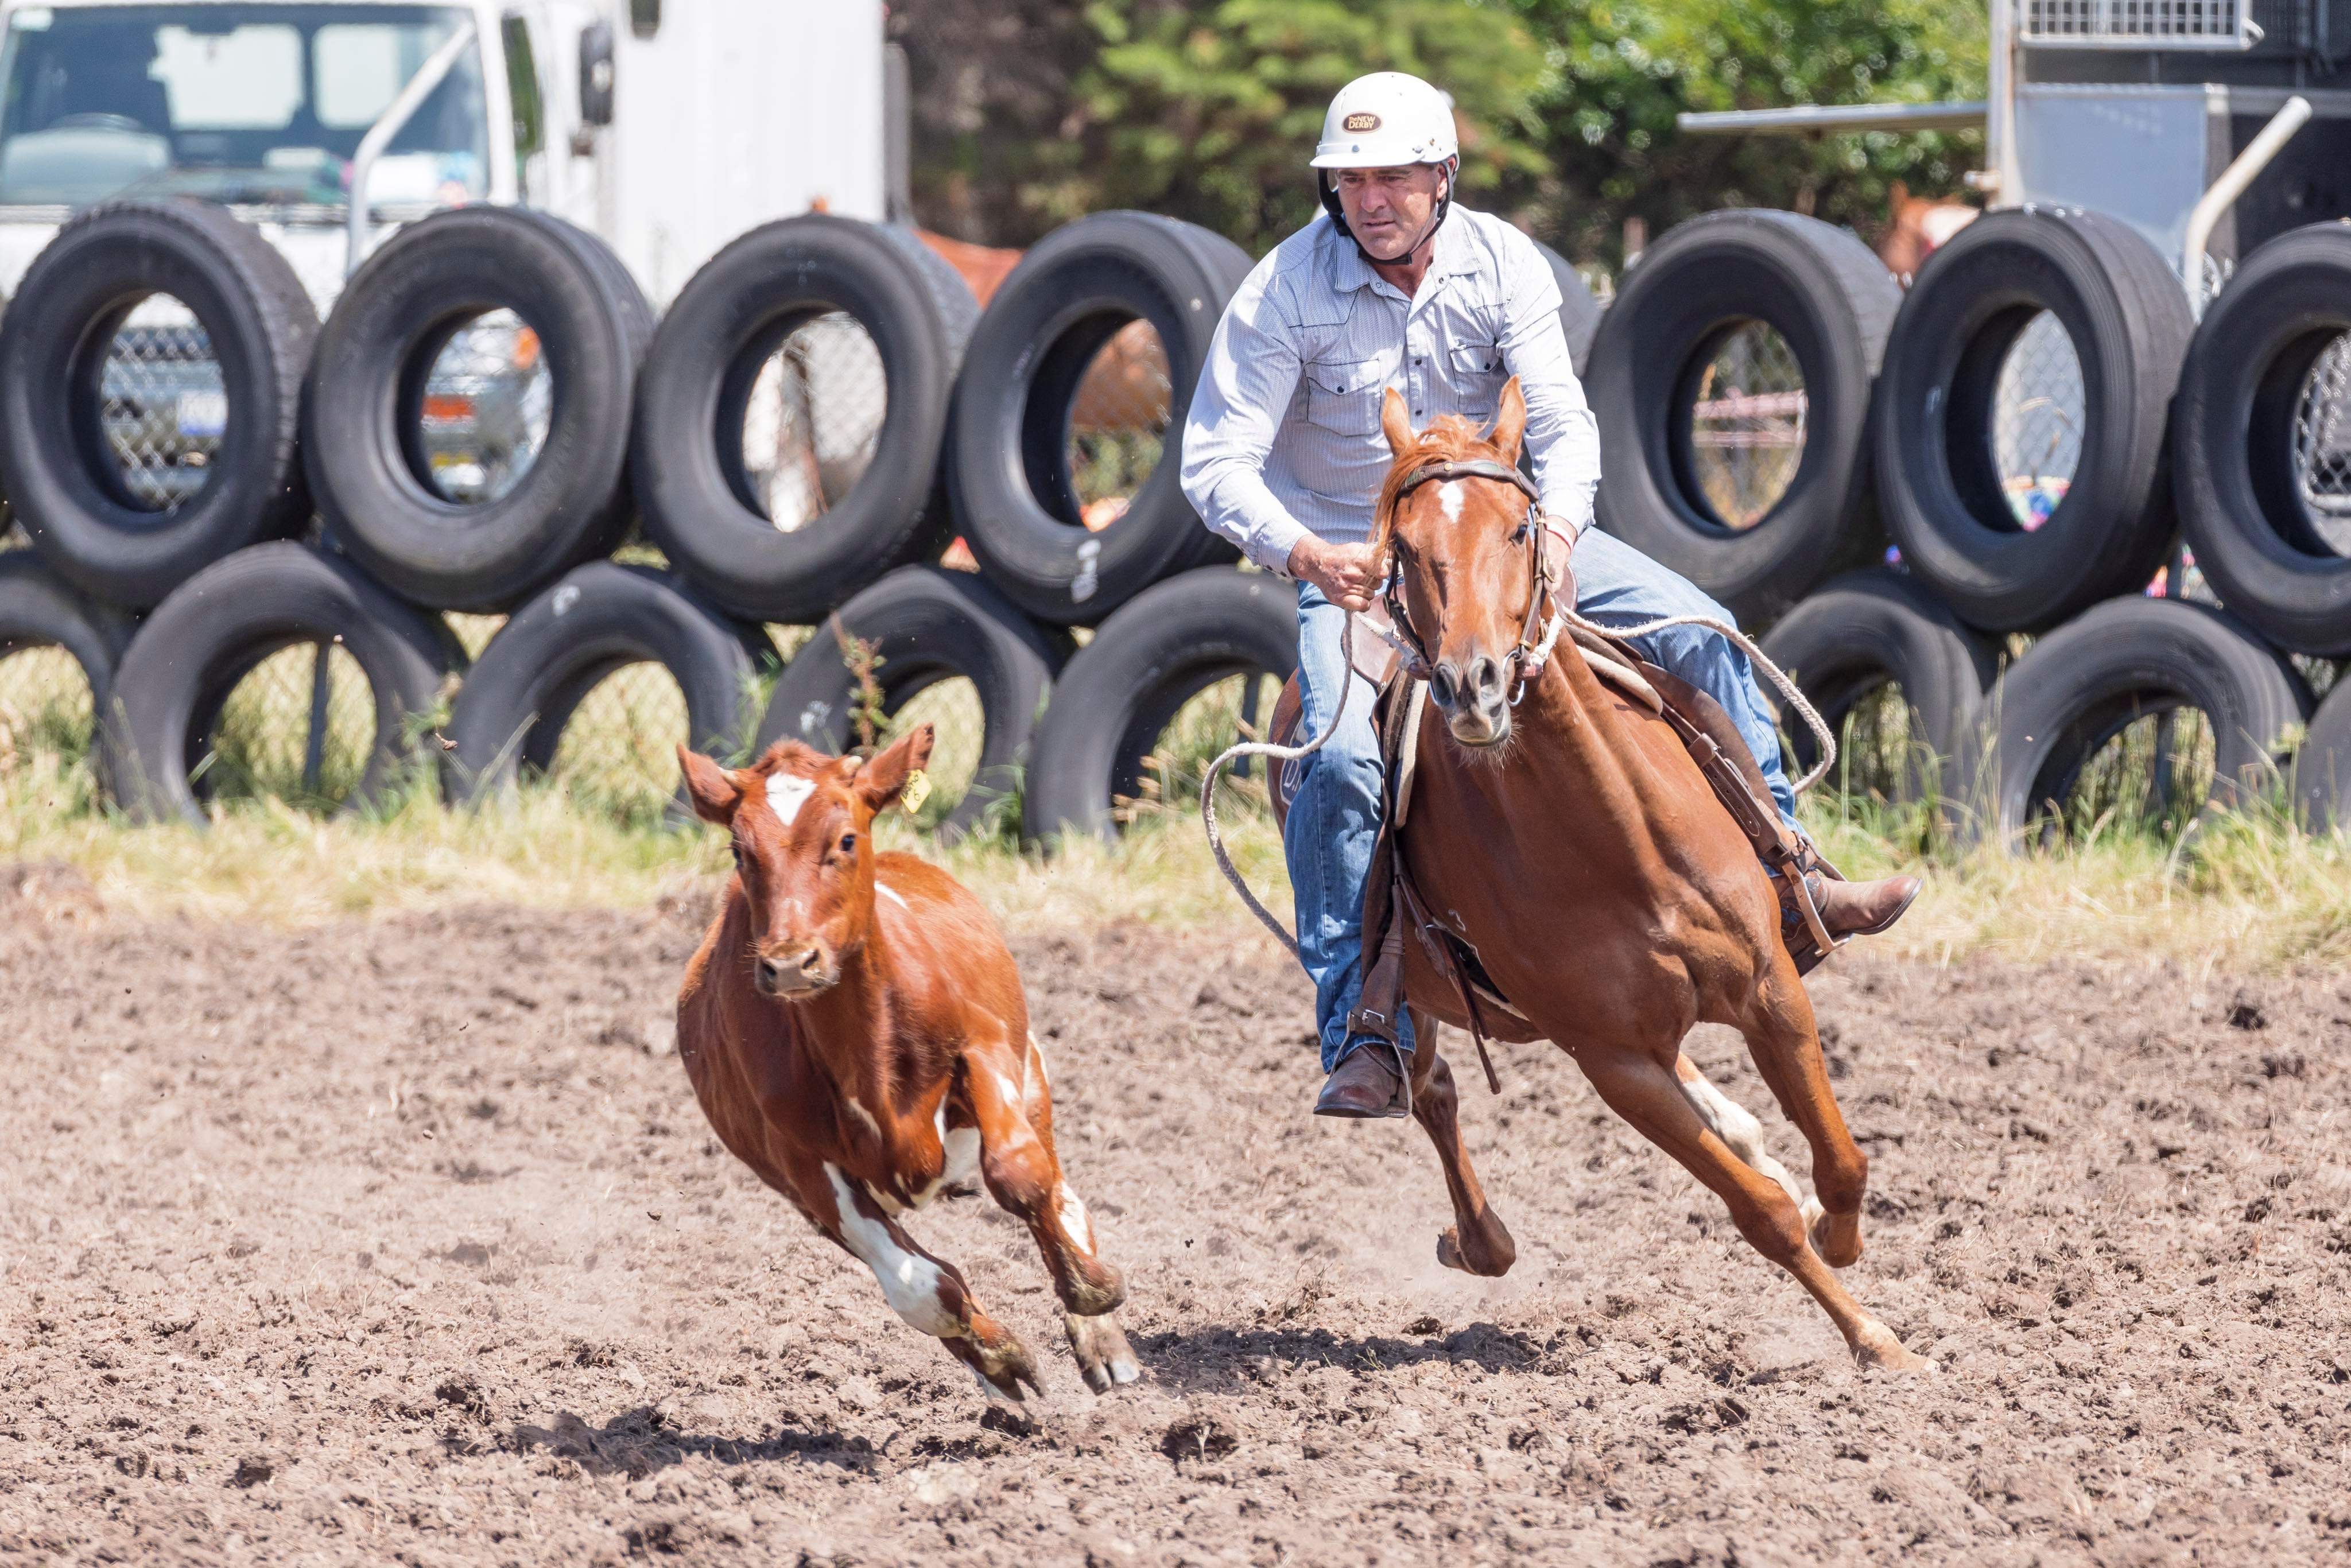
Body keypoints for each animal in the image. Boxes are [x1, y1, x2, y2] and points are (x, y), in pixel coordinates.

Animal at [672, 725, 1140, 1408]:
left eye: (845, 838)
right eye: (739, 849)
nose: (789, 963)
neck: (866, 1056)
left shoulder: (986, 1049)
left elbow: (1022, 1176)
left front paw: (1093, 1288)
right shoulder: (800, 1165)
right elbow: (926, 1288)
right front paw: (1002, 1360)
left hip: (1033, 1075)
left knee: (1058, 1187)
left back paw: (1102, 1337)